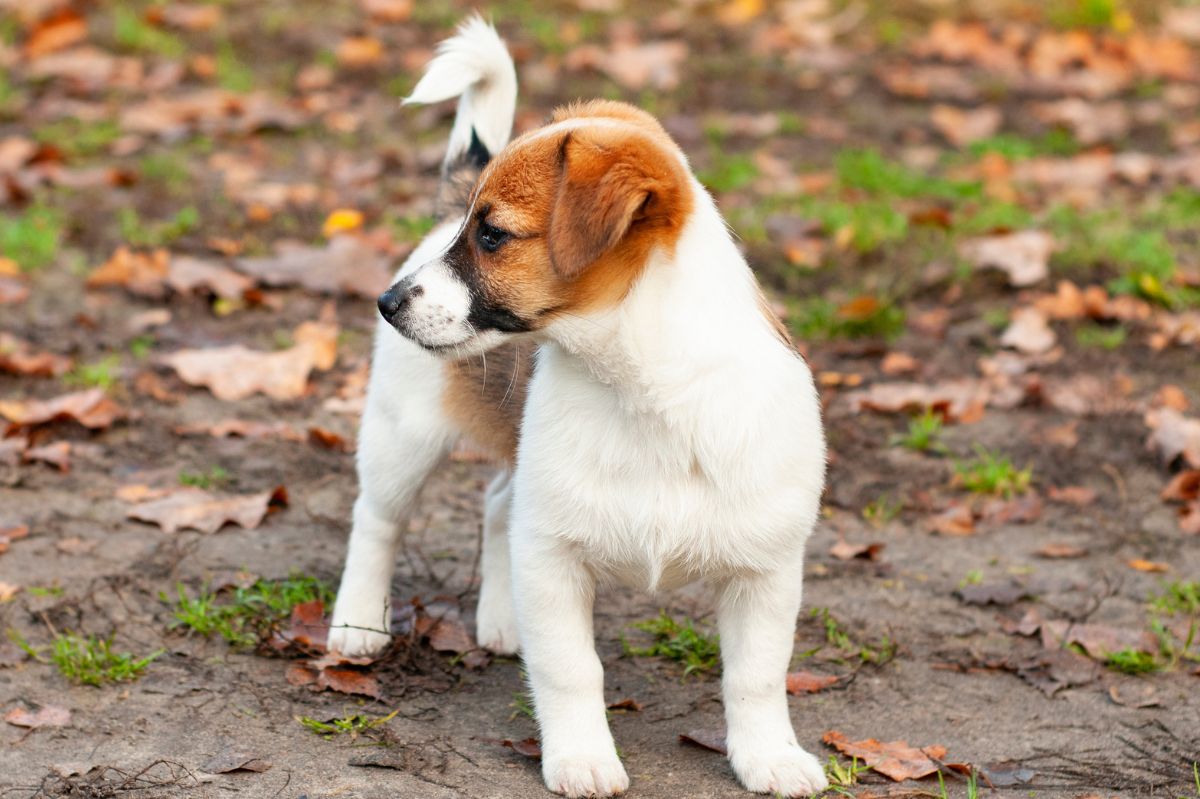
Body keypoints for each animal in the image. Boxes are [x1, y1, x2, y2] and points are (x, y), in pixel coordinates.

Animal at [328, 18, 835, 796]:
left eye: (491, 234)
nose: (386, 301)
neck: (644, 393)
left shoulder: (767, 573)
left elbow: (756, 676)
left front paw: (768, 754)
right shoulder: (553, 559)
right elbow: (571, 669)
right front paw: (582, 755)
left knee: (497, 503)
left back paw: (500, 618)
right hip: (402, 435)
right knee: (377, 522)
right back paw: (358, 626)